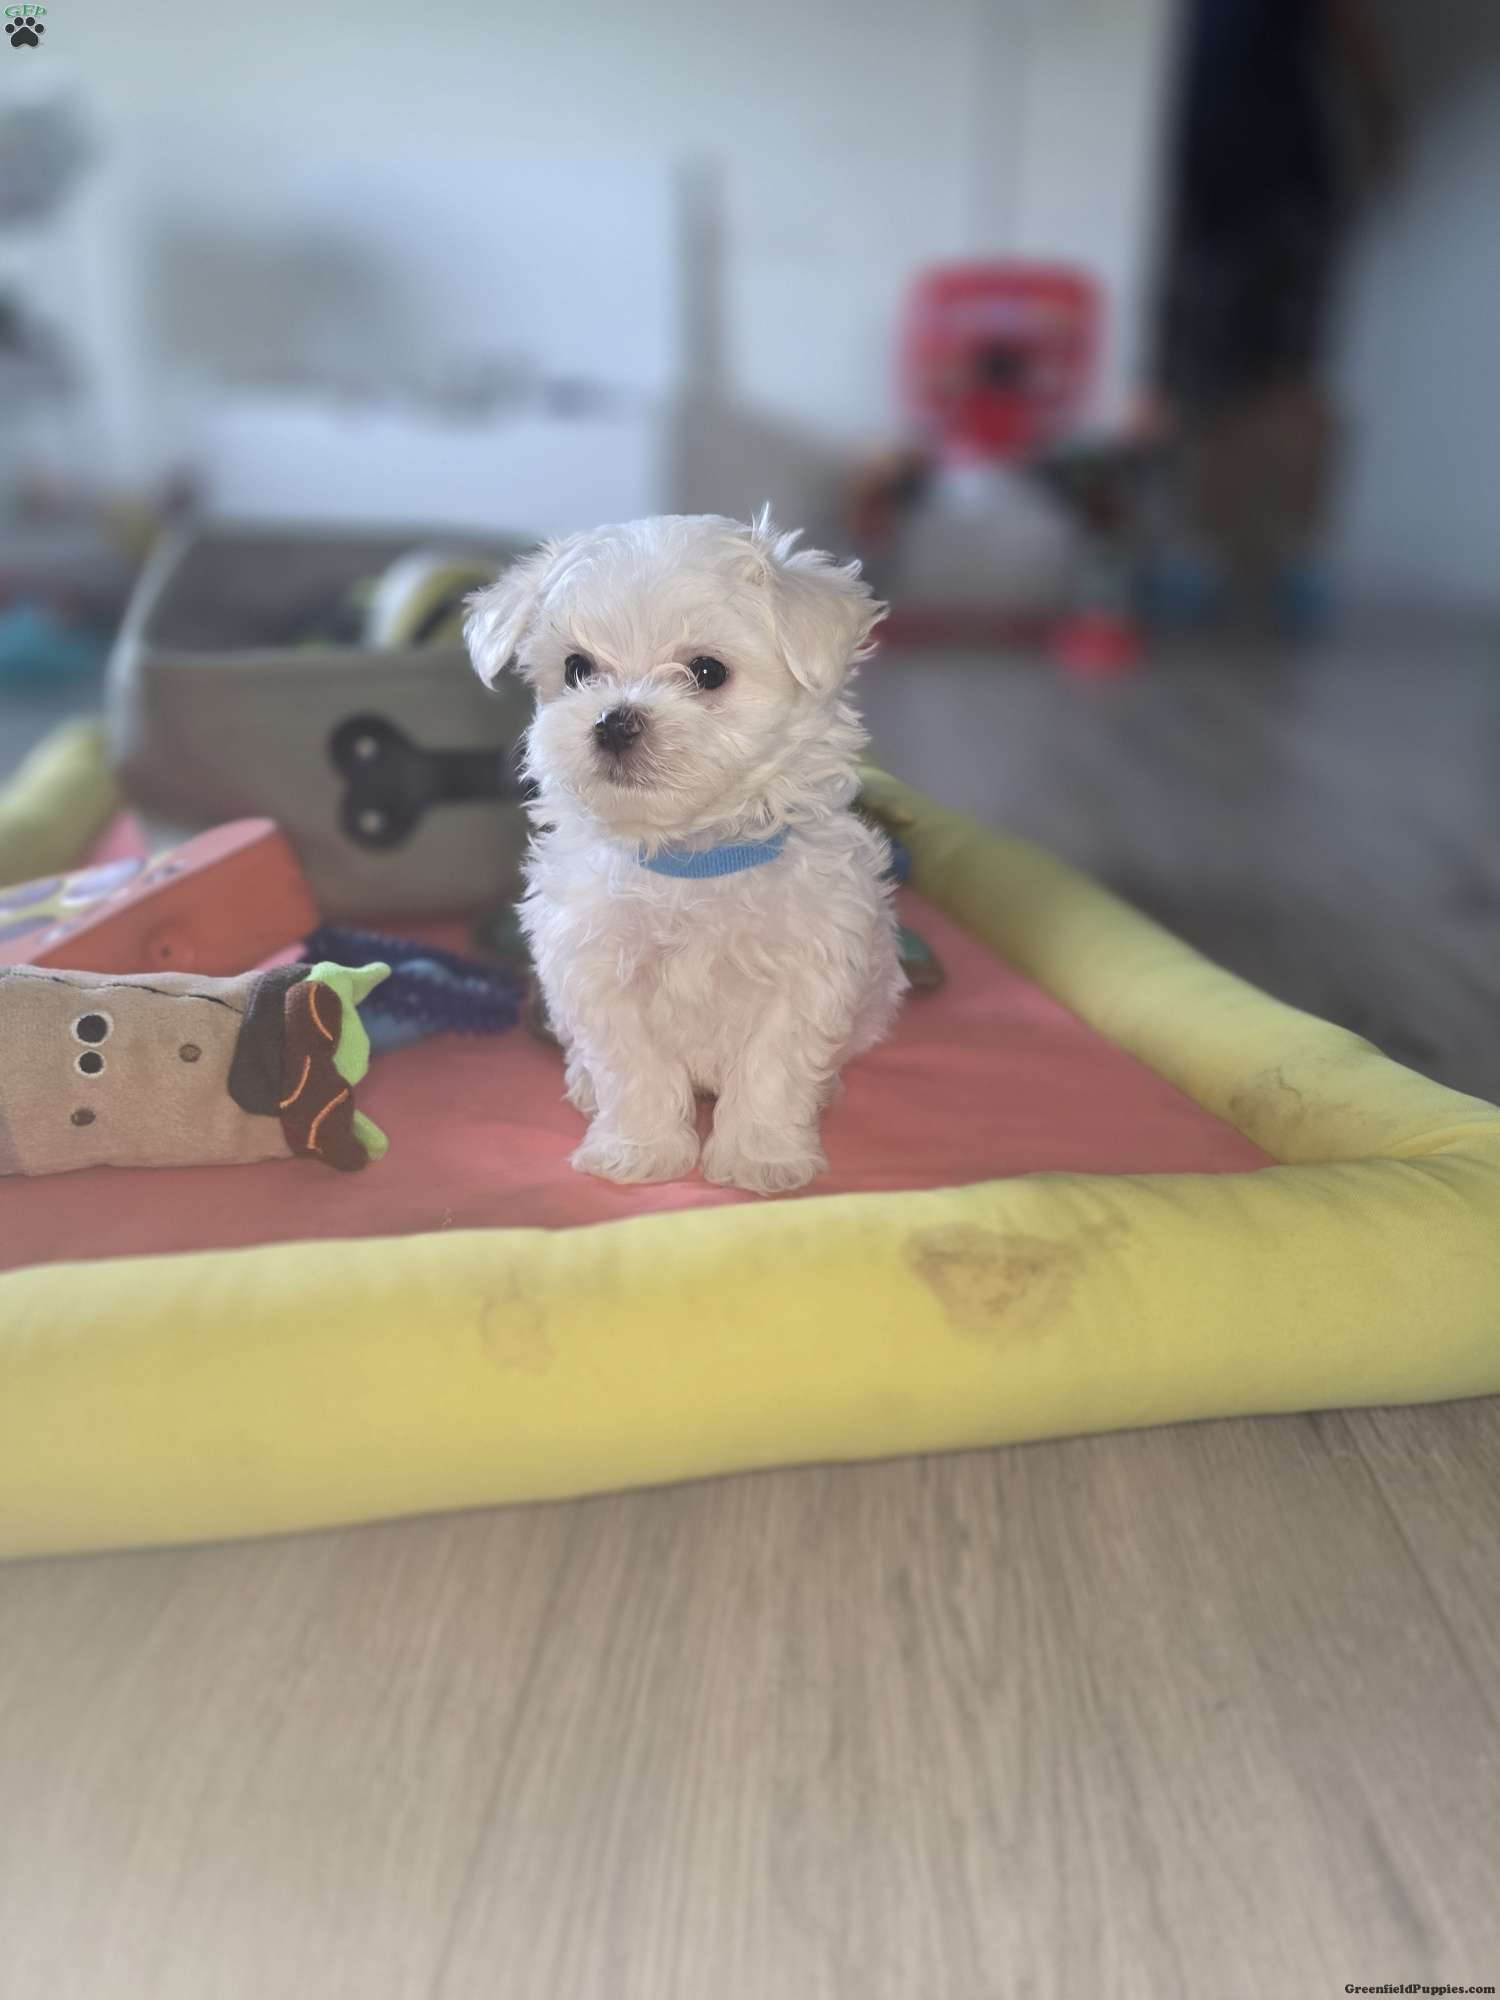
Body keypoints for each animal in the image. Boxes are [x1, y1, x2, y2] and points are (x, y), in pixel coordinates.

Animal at [465, 511, 904, 1195]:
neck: (690, 855)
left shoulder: (809, 970)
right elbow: (634, 1069)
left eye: (707, 671)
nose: (614, 721)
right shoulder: (597, 972)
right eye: (576, 668)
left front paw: (761, 1159)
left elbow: (773, 1069)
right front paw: (639, 1151)